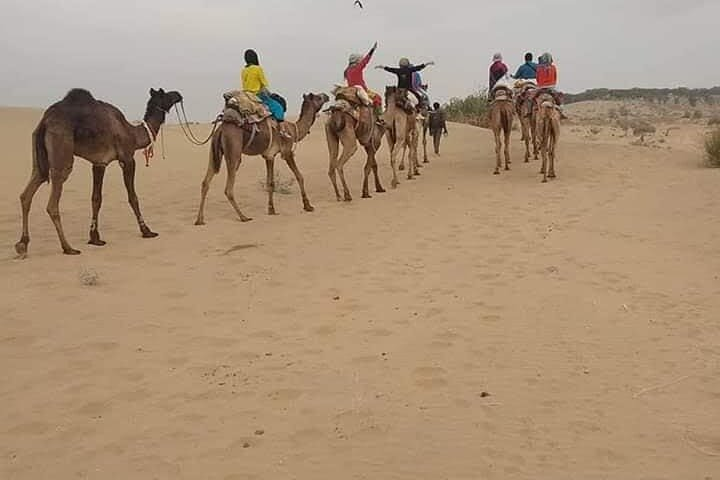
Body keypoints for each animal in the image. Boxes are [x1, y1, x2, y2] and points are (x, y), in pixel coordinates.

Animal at [15, 88, 183, 257]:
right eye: (165, 94)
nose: (178, 94)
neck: (132, 133)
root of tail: (45, 121)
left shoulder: (99, 163)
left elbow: (96, 199)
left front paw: (95, 238)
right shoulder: (127, 159)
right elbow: (133, 197)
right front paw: (146, 231)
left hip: (39, 156)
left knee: (28, 191)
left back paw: (22, 244)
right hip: (61, 149)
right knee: (52, 203)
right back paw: (68, 247)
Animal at [195, 93, 329, 225]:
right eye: (318, 97)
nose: (326, 96)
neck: (294, 130)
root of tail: (221, 129)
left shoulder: (269, 156)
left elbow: (270, 183)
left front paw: (271, 210)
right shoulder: (287, 152)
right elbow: (299, 176)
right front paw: (308, 206)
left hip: (214, 152)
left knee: (205, 182)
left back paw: (199, 219)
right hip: (233, 150)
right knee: (228, 188)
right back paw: (243, 217)